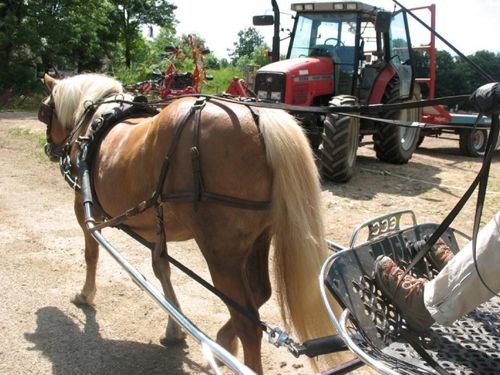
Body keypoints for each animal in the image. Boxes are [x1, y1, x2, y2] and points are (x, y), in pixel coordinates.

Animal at [39, 72, 336, 374]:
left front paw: (85, 295)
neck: (97, 119)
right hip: (260, 239)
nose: (49, 148)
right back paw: (223, 341)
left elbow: (91, 254)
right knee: (259, 293)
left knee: (248, 323)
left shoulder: (82, 205)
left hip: (222, 255)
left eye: (44, 111)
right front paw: (174, 329)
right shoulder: (155, 226)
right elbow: (162, 269)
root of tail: (258, 117)